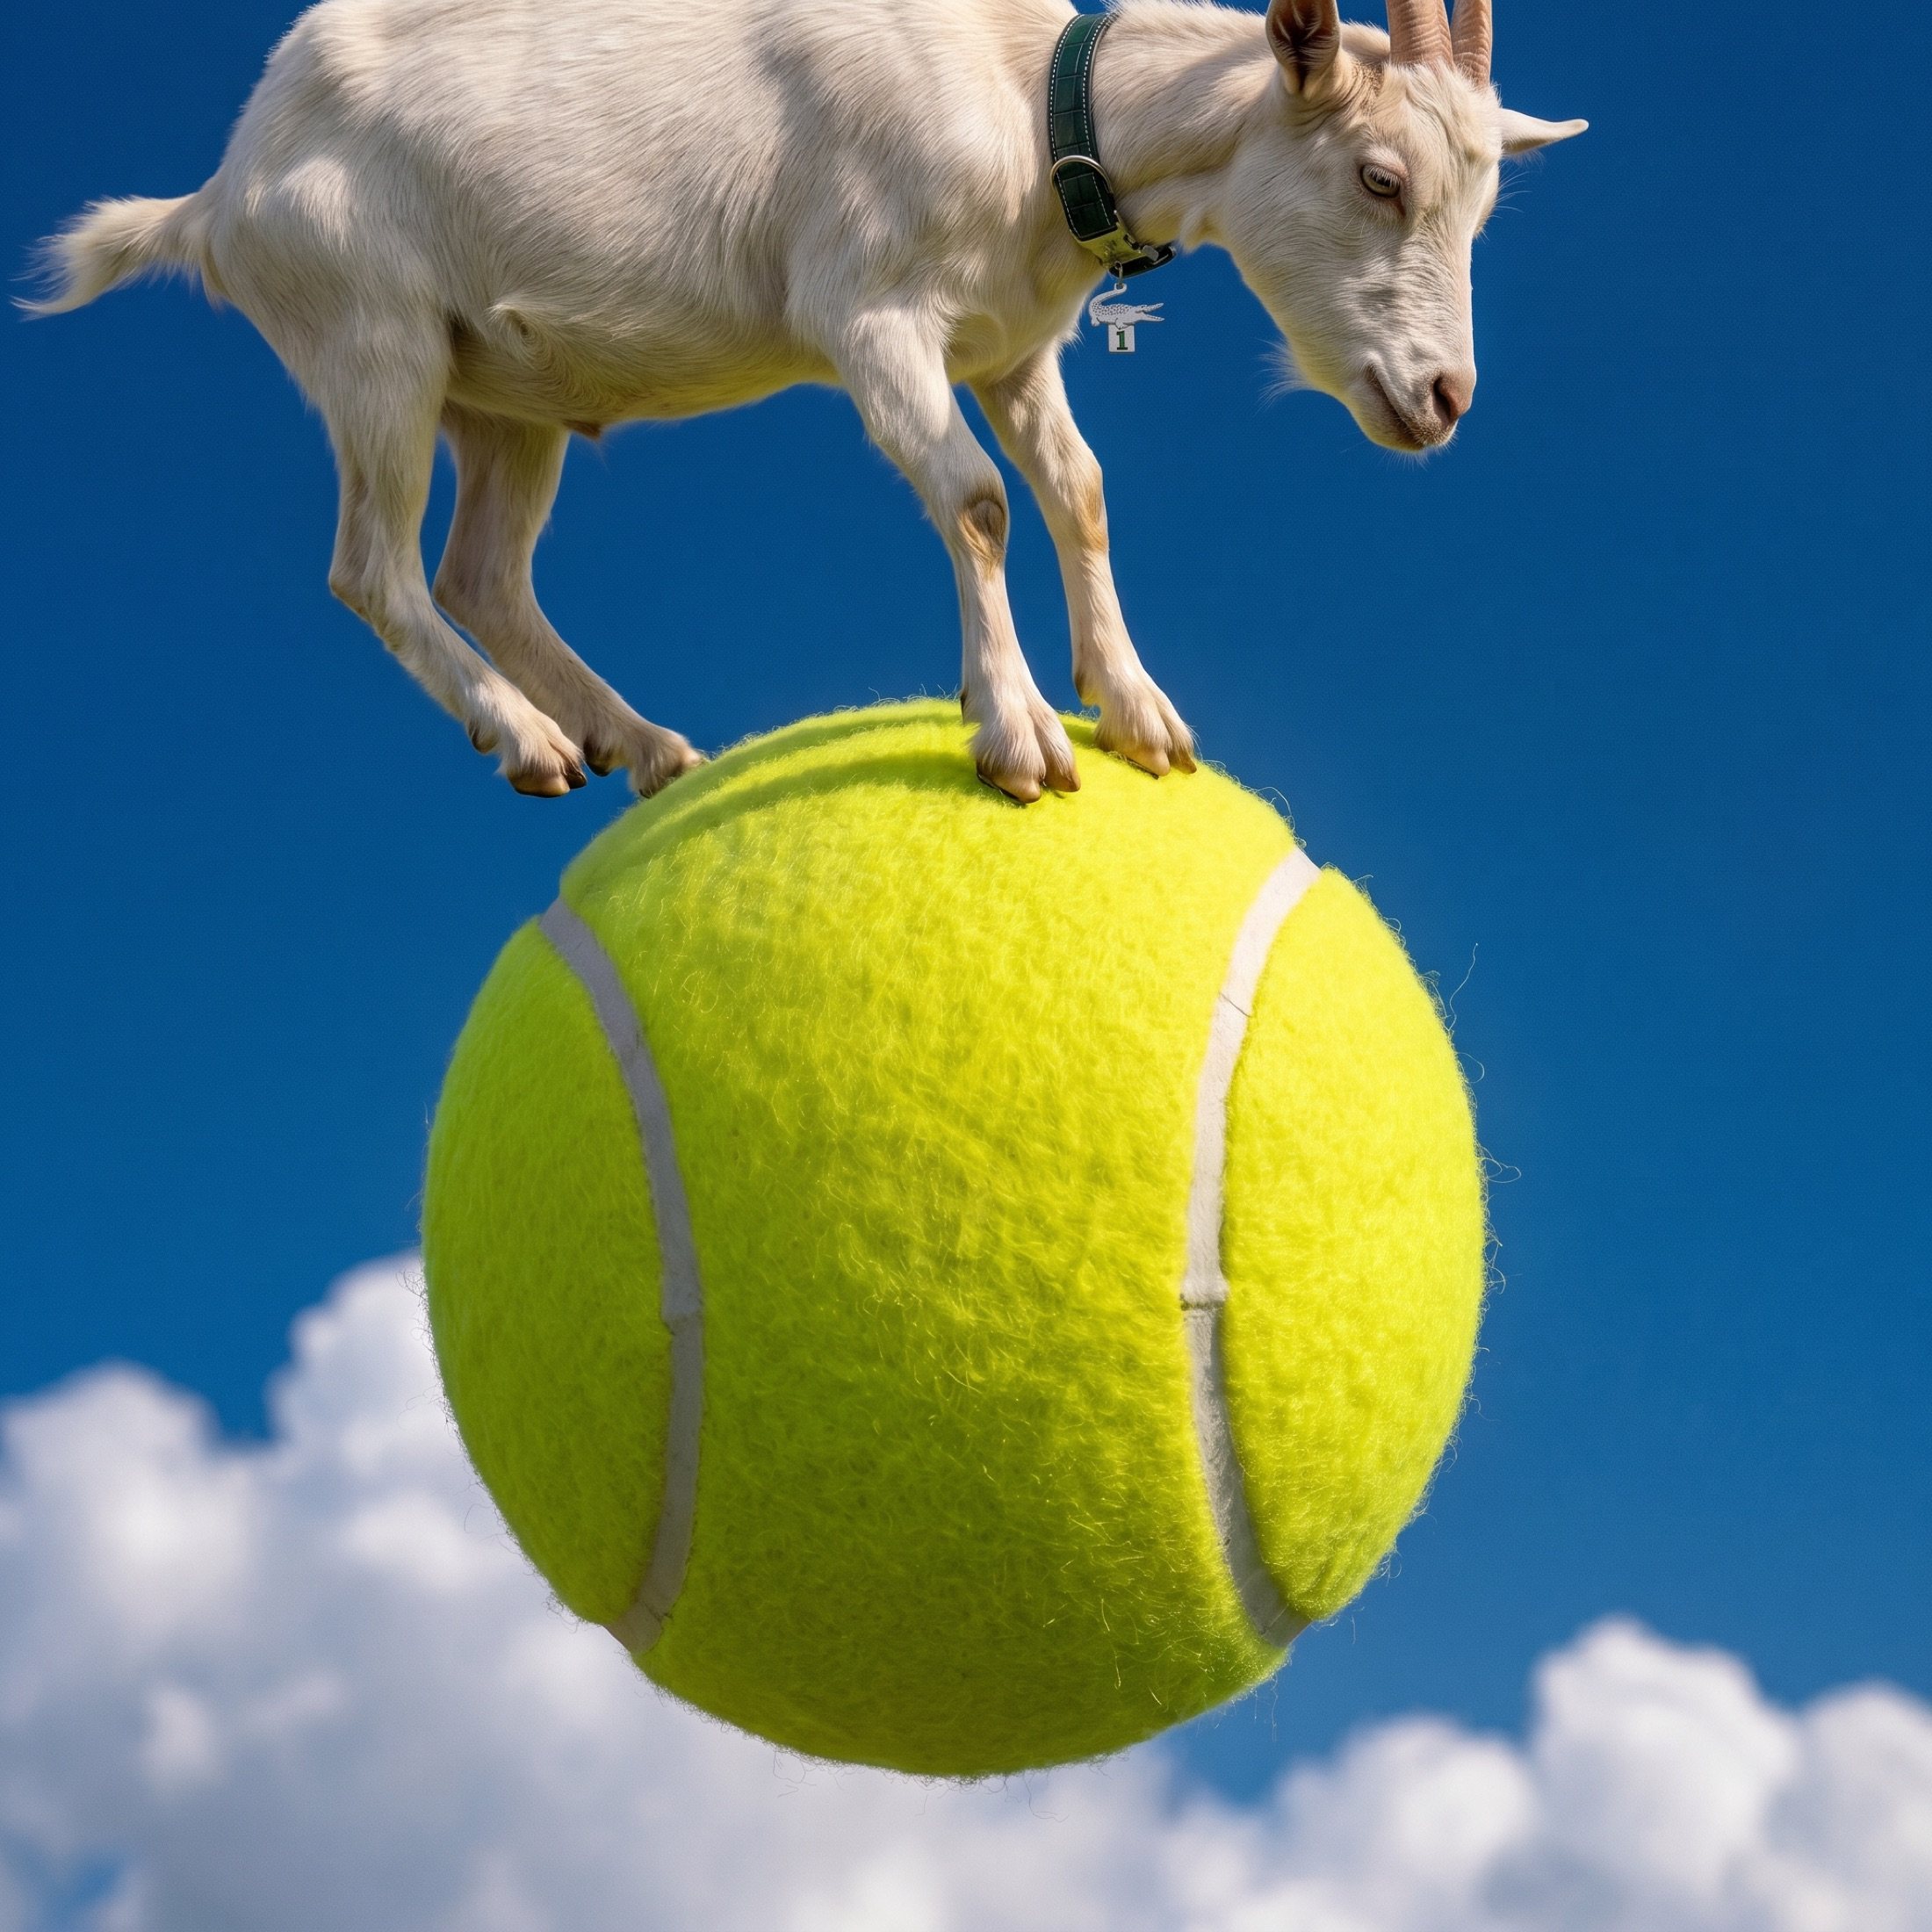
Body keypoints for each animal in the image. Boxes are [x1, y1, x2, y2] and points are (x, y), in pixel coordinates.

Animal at [30, 0, 1583, 802]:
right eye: (1380, 179)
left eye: (1482, 202)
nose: (1441, 396)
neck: (1025, 86)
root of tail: (220, 194)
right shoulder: (871, 317)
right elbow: (974, 500)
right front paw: (1017, 735)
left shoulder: (1013, 347)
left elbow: (1076, 491)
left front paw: (1139, 713)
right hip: (373, 343)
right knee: (374, 568)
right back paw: (528, 740)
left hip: (504, 398)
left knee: (482, 572)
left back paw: (642, 744)